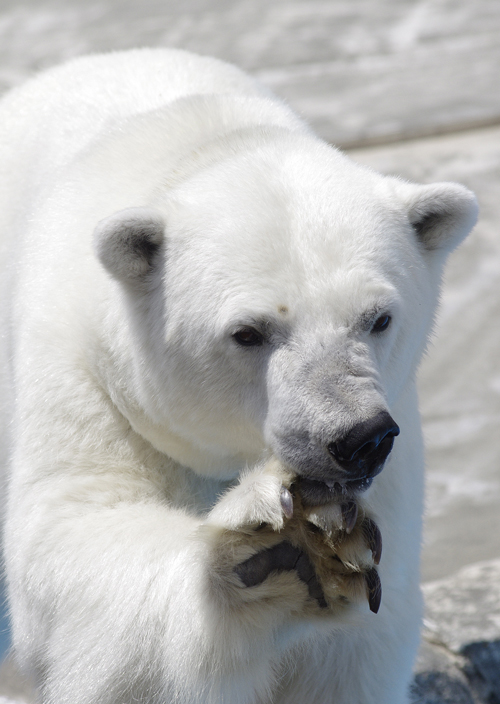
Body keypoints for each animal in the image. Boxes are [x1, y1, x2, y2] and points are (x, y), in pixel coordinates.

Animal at [0, 51, 476, 704]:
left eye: (378, 318)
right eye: (248, 332)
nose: (357, 439)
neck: (199, 138)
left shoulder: (396, 431)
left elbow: (353, 654)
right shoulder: (84, 370)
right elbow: (73, 533)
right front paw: (275, 546)